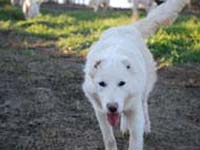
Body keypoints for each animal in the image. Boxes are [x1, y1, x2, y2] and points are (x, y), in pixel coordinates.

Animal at [82, 0, 190, 149]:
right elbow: (109, 139)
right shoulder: (100, 112)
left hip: (143, 94)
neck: (113, 54)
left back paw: (146, 127)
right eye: (102, 84)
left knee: (145, 107)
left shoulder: (135, 110)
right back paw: (124, 127)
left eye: (122, 83)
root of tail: (130, 27)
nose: (112, 107)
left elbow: (135, 140)